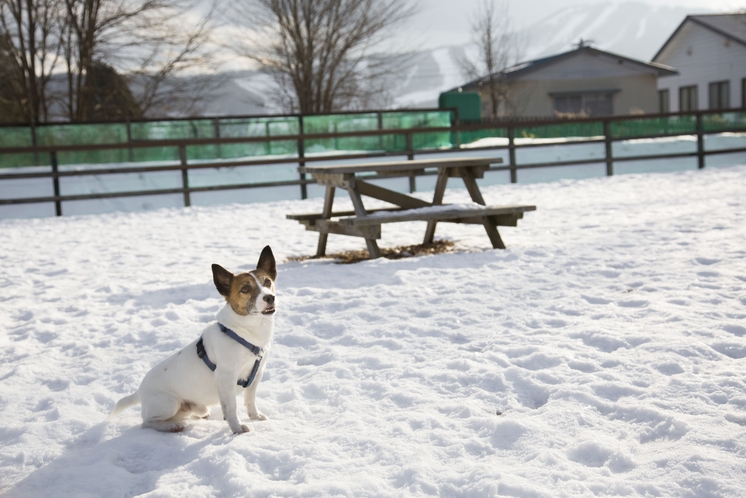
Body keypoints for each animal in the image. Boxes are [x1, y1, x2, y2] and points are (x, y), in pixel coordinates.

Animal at [107, 247, 276, 434]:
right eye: (245, 289)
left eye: (267, 282)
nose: (270, 298)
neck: (245, 332)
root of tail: (139, 391)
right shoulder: (227, 378)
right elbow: (231, 407)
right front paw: (237, 428)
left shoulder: (257, 373)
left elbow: (250, 399)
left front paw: (255, 416)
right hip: (169, 403)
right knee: (147, 422)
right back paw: (171, 426)